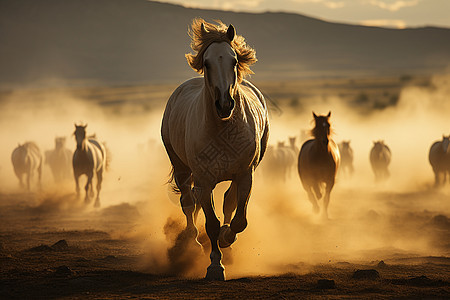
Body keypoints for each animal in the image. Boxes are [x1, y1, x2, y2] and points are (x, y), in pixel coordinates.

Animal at [161, 18, 268, 282]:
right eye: (207, 63)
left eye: (234, 60)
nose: (224, 105)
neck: (222, 129)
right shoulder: (204, 179)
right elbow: (210, 223)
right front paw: (214, 266)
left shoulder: (245, 175)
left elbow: (238, 219)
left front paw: (226, 239)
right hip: (182, 169)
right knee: (188, 203)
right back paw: (192, 241)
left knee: (227, 201)